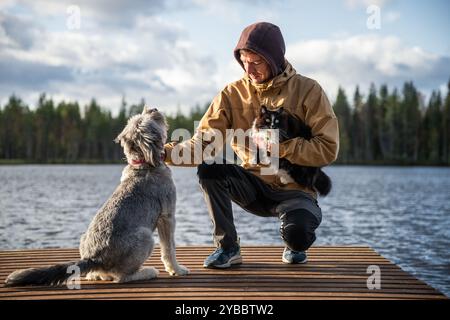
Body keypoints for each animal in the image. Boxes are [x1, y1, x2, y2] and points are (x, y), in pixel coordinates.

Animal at [6, 106, 191, 286]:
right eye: (147, 120)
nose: (154, 109)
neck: (144, 164)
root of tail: (94, 258)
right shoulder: (167, 216)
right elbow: (169, 248)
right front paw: (177, 269)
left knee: (97, 275)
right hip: (146, 237)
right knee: (121, 277)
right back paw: (147, 272)